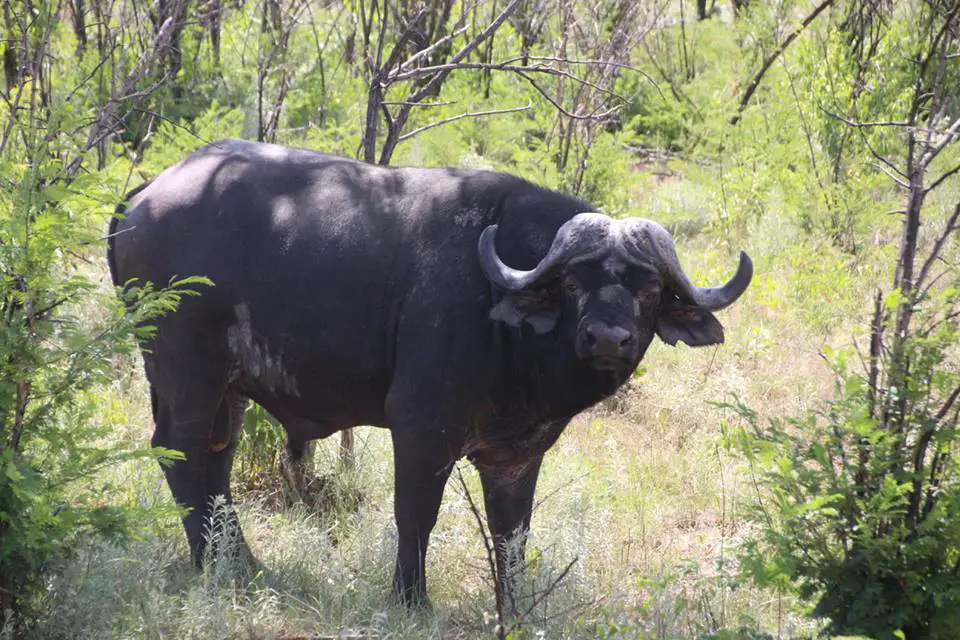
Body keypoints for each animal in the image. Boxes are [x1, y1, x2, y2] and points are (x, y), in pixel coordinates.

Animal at [109, 138, 752, 604]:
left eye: (648, 290)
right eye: (574, 283)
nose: (608, 339)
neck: (501, 313)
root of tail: (146, 195)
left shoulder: (517, 454)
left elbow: (512, 533)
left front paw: (516, 606)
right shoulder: (421, 429)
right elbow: (416, 515)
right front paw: (411, 600)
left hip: (229, 389)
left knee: (215, 462)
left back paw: (239, 563)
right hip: (184, 370)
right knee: (179, 451)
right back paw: (212, 565)